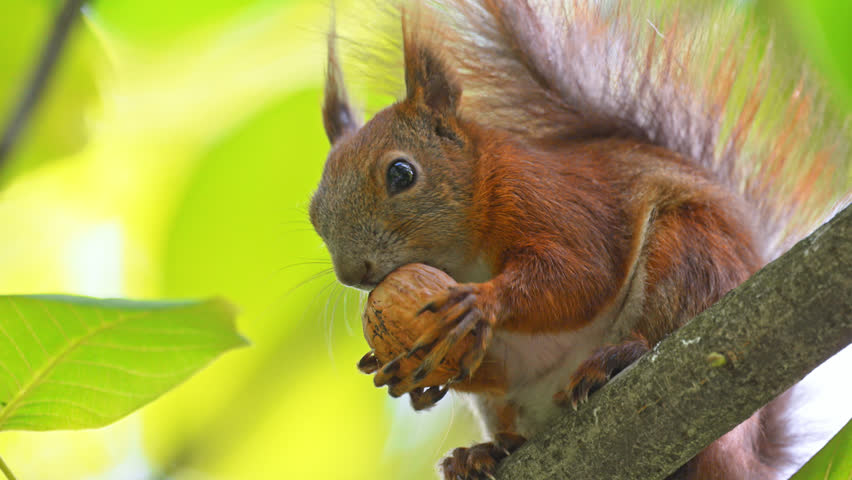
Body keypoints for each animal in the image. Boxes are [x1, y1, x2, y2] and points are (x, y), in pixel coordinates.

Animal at [309, 1, 849, 479]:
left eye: (401, 173)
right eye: (314, 216)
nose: (352, 274)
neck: (463, 255)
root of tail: (747, 448)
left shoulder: (552, 198)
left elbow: (583, 275)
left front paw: (481, 303)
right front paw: (396, 368)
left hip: (689, 254)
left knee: (663, 325)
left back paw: (615, 360)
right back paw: (485, 453)